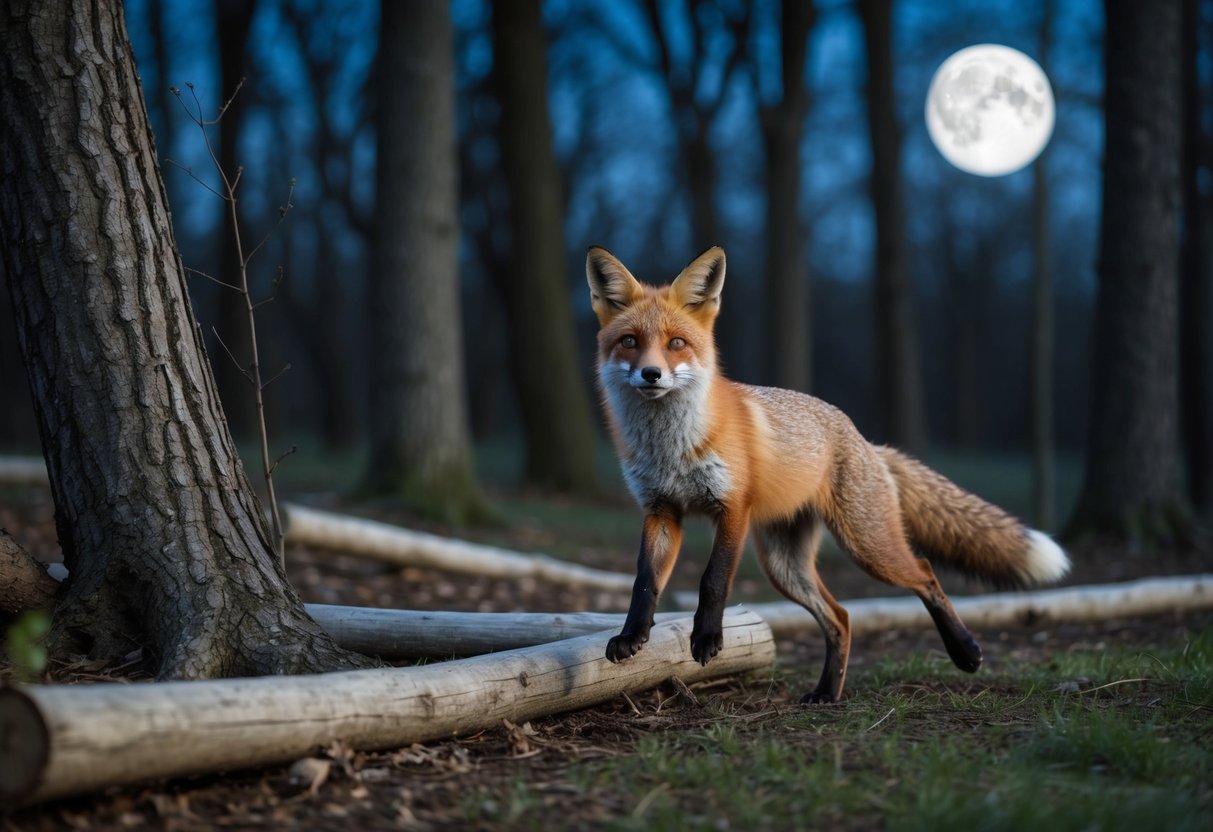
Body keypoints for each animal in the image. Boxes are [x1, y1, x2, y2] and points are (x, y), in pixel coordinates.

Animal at [586, 245, 1071, 703]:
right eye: (629, 341)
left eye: (676, 343)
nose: (651, 374)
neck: (671, 448)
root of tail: (866, 441)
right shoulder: (661, 509)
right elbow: (644, 584)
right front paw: (631, 636)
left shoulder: (733, 507)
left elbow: (713, 580)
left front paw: (706, 639)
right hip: (785, 567)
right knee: (842, 618)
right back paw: (827, 693)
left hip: (866, 546)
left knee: (925, 572)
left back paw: (965, 651)